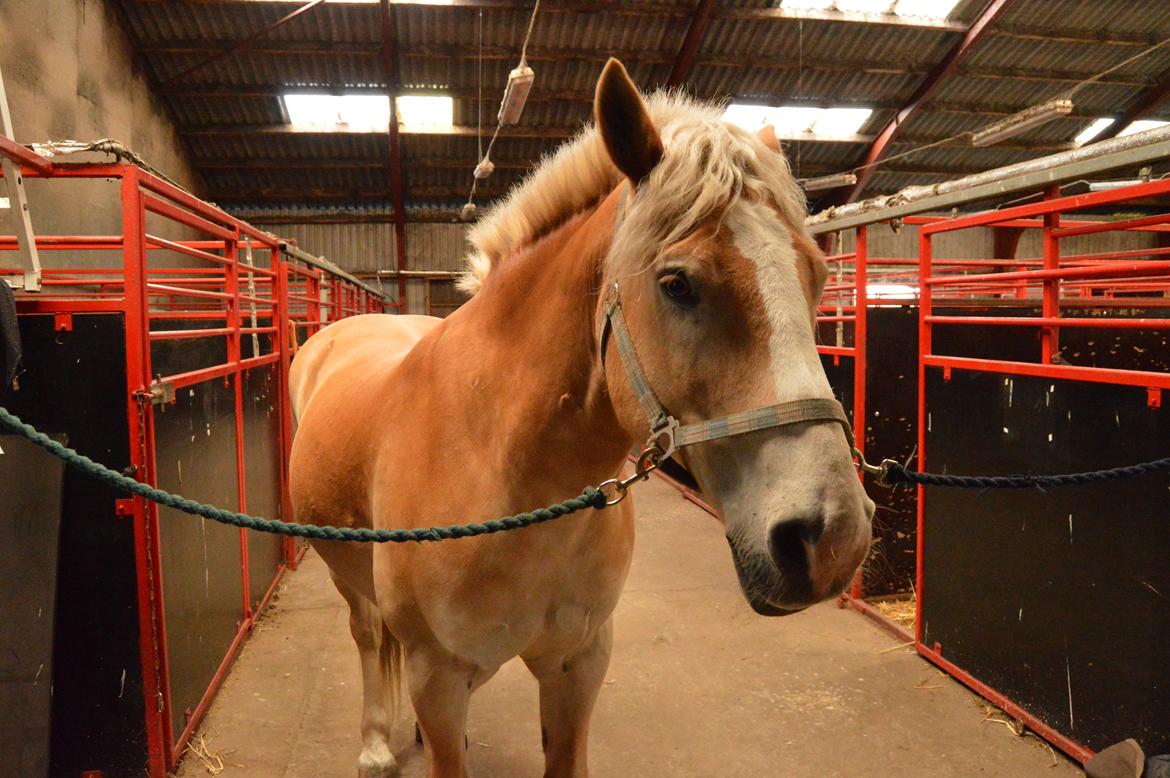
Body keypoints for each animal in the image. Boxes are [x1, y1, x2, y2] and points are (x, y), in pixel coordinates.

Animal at [287, 60, 875, 776]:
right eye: (677, 283)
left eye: (816, 276)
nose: (833, 539)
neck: (500, 464)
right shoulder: (436, 678)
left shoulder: (579, 662)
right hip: (349, 581)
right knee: (369, 635)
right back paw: (375, 743)